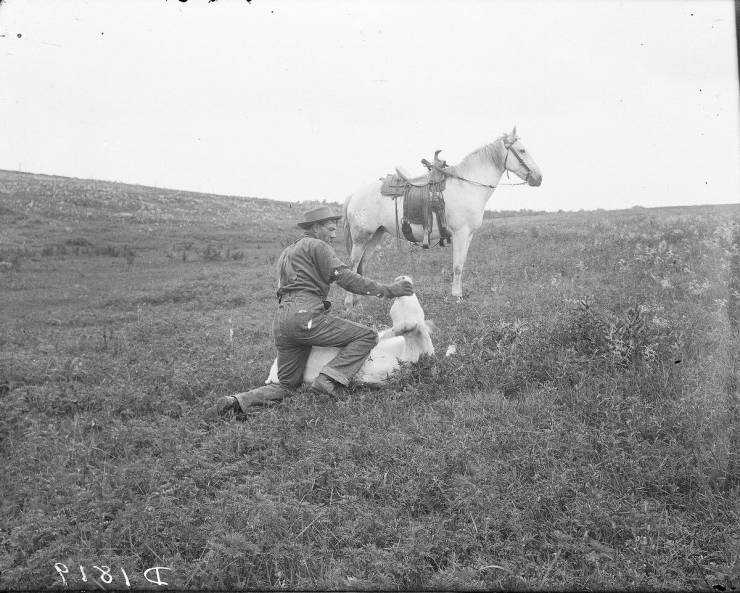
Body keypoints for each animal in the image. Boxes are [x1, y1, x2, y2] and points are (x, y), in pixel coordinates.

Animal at [342, 129, 544, 306]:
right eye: (522, 150)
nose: (539, 177)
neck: (467, 186)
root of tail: (354, 195)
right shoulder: (460, 233)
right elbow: (457, 266)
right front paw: (456, 297)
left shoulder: (469, 235)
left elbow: (461, 263)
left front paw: (459, 294)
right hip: (361, 237)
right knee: (353, 265)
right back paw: (349, 302)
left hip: (376, 235)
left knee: (361, 265)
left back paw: (359, 300)